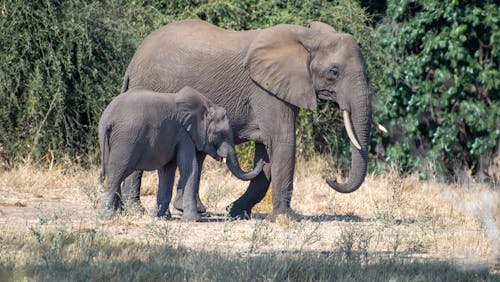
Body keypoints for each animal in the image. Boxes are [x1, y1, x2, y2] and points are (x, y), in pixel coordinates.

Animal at [96, 86, 266, 220]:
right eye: (221, 134)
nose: (264, 158)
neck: (205, 106)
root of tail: (107, 119)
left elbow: (167, 171)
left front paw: (163, 218)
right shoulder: (184, 133)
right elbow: (190, 167)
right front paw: (193, 220)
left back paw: (117, 214)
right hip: (127, 140)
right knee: (117, 173)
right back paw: (107, 216)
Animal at [120, 19, 372, 220]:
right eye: (333, 72)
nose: (331, 178)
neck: (307, 37)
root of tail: (132, 63)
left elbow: (267, 153)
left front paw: (234, 212)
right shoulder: (264, 90)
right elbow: (282, 141)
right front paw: (288, 218)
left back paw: (193, 209)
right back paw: (137, 211)